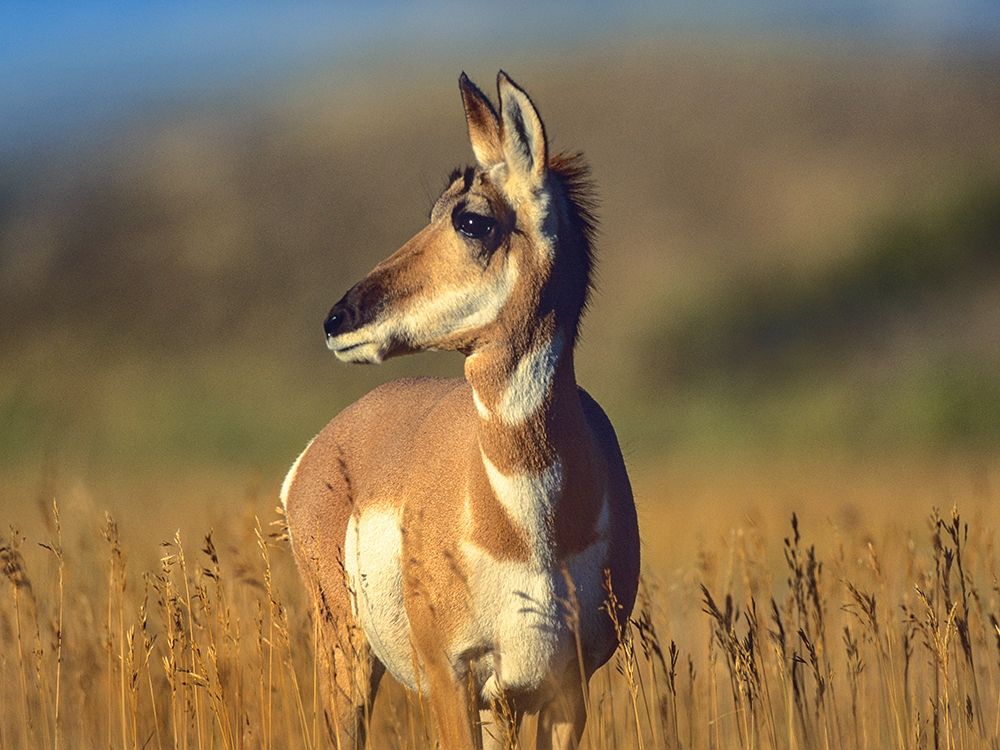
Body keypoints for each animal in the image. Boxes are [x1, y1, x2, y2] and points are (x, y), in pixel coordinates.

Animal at [282, 71, 639, 749]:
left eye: (472, 220)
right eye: (432, 213)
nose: (337, 318)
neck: (529, 528)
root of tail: (323, 446)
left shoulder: (567, 689)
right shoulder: (452, 677)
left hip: (498, 704)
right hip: (346, 656)